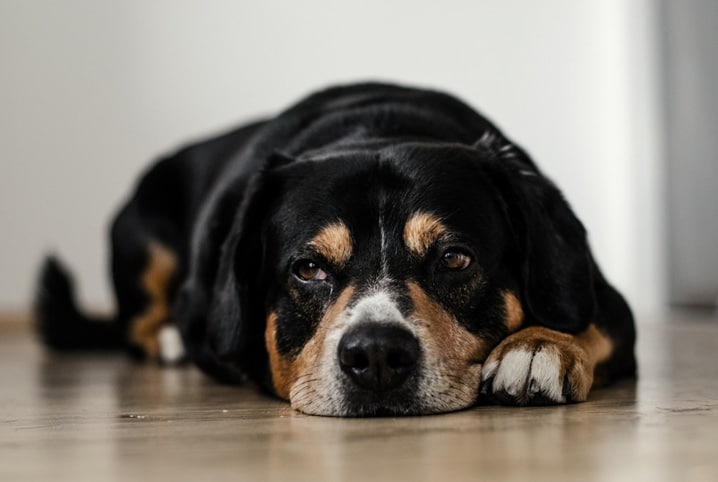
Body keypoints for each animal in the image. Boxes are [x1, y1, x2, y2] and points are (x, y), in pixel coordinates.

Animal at [36, 82, 640, 414]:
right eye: (308, 269)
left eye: (454, 259)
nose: (376, 355)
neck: (377, 129)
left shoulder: (605, 298)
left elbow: (589, 321)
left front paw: (537, 346)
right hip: (143, 240)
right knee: (135, 324)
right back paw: (169, 342)